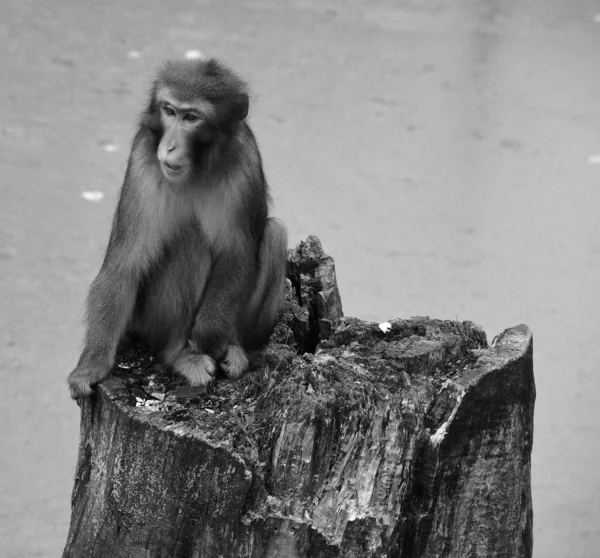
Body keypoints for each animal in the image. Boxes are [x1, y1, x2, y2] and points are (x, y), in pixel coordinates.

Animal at [68, 57, 288, 400]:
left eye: (191, 118)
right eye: (169, 111)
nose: (169, 147)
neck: (196, 169)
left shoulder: (246, 158)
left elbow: (237, 254)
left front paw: (209, 334)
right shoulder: (143, 159)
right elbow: (124, 266)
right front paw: (91, 366)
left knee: (274, 235)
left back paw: (232, 347)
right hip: (148, 321)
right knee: (190, 243)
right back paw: (180, 354)